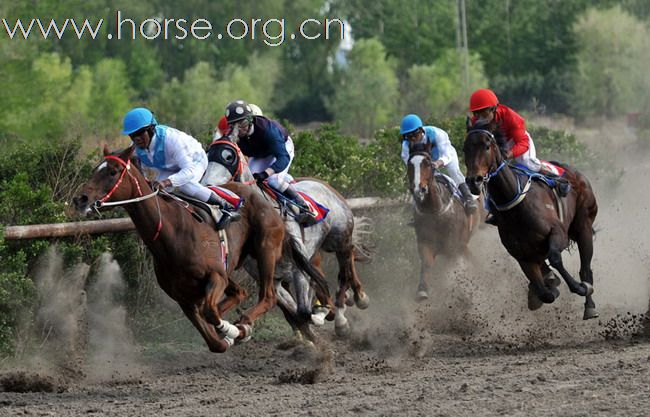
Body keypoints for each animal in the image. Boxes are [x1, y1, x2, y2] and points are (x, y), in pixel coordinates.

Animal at [72, 146, 330, 352]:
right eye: (96, 168)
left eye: (113, 171)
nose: (80, 199)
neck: (173, 234)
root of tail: (264, 198)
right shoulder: (183, 298)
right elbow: (215, 342)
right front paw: (227, 334)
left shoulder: (216, 277)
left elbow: (210, 312)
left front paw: (233, 330)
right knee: (239, 293)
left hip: (264, 251)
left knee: (267, 296)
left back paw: (244, 324)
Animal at [200, 139, 370, 338]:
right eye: (208, 155)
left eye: (229, 157)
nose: (206, 185)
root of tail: (324, 185)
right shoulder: (273, 278)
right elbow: (296, 312)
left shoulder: (297, 270)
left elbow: (304, 309)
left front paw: (322, 315)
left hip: (339, 240)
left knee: (345, 270)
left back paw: (351, 307)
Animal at [408, 148, 478, 300]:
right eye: (409, 165)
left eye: (427, 164)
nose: (418, 190)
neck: (434, 211)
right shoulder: (426, 242)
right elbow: (426, 263)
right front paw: (422, 290)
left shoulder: (455, 246)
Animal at [460, 126, 596, 318]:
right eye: (465, 149)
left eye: (486, 146)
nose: (474, 181)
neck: (517, 209)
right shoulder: (522, 255)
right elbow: (546, 294)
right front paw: (547, 289)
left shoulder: (558, 233)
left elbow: (555, 258)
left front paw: (578, 287)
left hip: (584, 226)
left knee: (585, 268)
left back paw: (589, 303)